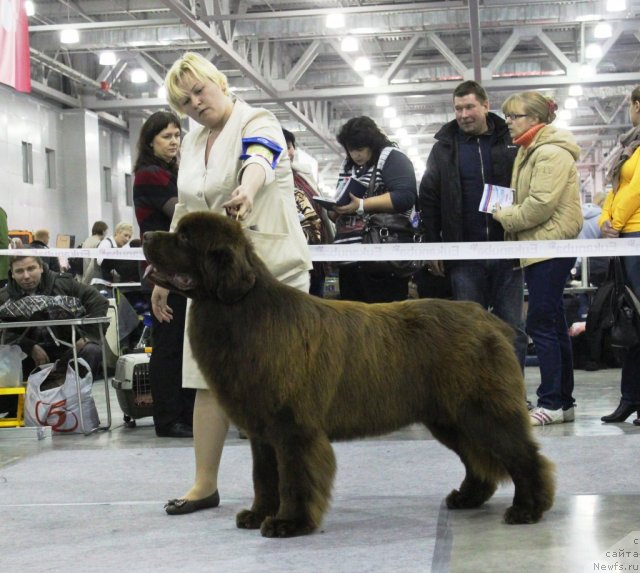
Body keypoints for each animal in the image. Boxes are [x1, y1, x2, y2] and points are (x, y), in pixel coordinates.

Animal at [142, 210, 552, 536]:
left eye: (184, 238)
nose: (144, 236)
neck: (242, 311)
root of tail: (488, 320)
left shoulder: (293, 429)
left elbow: (295, 478)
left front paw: (288, 523)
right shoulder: (262, 431)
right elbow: (265, 477)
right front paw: (258, 515)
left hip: (483, 412)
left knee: (524, 456)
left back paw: (529, 509)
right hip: (450, 417)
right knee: (477, 459)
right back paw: (467, 497)